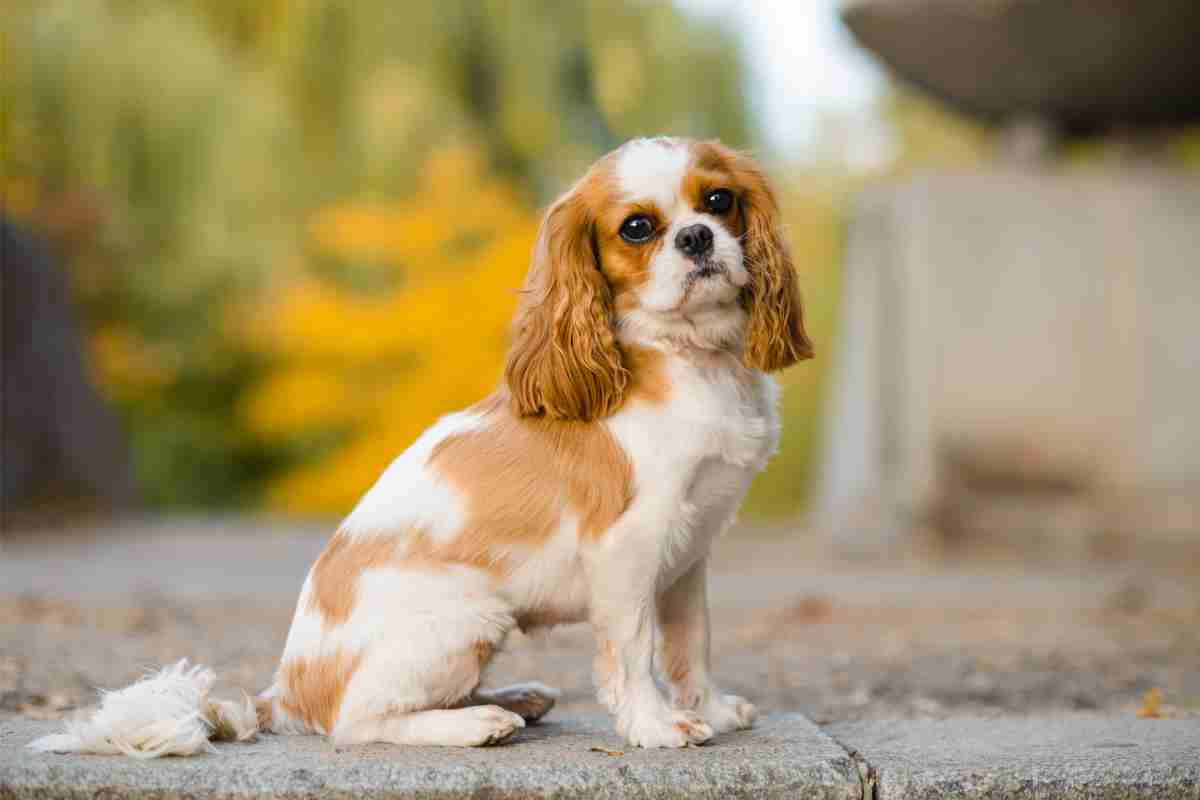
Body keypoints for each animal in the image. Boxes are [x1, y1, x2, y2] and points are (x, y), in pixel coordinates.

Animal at [30, 136, 816, 758]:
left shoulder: (687, 555)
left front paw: (709, 709)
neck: (690, 359)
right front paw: (658, 726)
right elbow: (636, 650)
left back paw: (513, 698)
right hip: (469, 615)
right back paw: (476, 724)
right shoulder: (629, 549)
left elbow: (692, 643)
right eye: (638, 228)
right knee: (359, 721)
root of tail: (283, 694)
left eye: (718, 200)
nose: (697, 239)